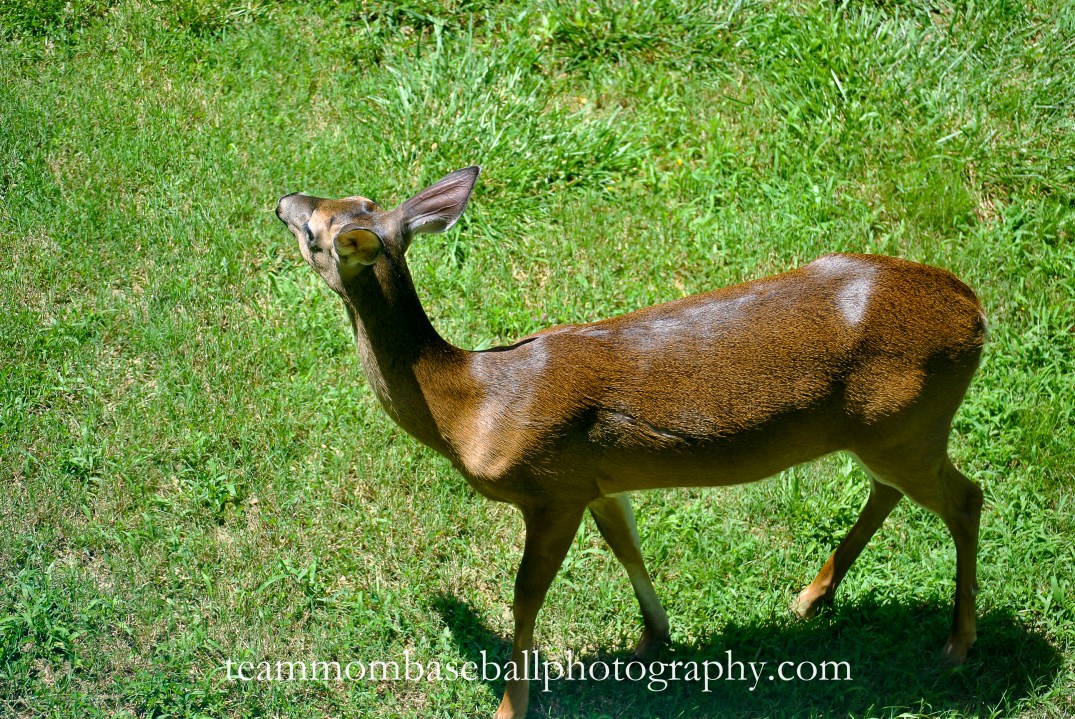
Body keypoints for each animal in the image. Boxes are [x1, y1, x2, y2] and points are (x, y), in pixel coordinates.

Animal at [275, 166, 986, 719]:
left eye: (316, 234)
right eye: (347, 198)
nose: (283, 202)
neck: (471, 404)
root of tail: (976, 313)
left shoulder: (551, 489)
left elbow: (525, 594)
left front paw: (511, 704)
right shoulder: (596, 482)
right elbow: (627, 547)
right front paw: (654, 638)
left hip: (909, 425)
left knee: (967, 498)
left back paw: (956, 646)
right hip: (890, 431)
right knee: (891, 491)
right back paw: (812, 598)